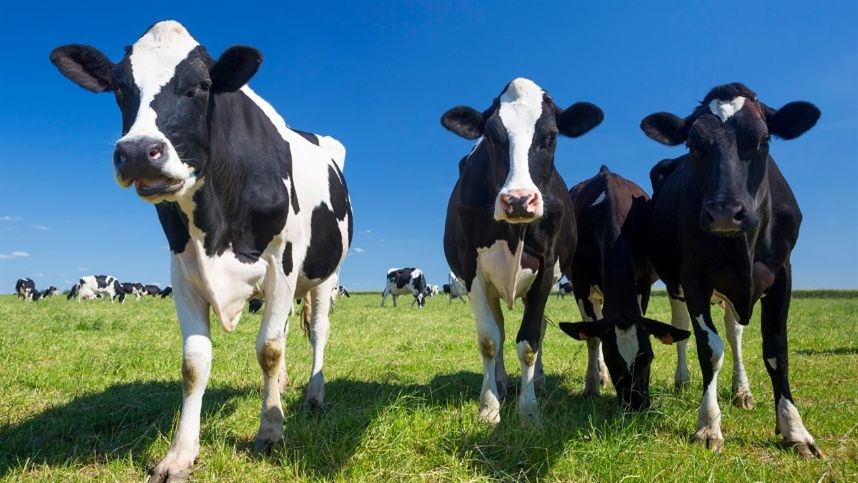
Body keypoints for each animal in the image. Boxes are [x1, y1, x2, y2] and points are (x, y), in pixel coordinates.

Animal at [50, 20, 353, 480]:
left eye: (201, 86)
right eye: (119, 87)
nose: (137, 152)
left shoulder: (281, 263)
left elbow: (268, 349)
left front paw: (270, 431)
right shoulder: (183, 270)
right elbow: (195, 363)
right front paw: (179, 454)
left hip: (323, 275)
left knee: (317, 331)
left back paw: (312, 395)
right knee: (285, 330)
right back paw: (282, 388)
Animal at [441, 78, 603, 427]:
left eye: (552, 136)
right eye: (490, 136)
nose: (517, 200)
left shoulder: (546, 267)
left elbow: (529, 341)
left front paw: (529, 411)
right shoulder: (472, 270)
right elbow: (489, 340)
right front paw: (489, 406)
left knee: (538, 329)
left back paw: (539, 381)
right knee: (500, 330)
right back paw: (501, 382)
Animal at [557, 165, 690, 407]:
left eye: (648, 356)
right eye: (612, 361)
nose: (636, 404)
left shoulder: (643, 282)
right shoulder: (580, 285)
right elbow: (592, 338)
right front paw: (591, 386)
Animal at [638, 83, 821, 457]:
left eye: (763, 139)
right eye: (693, 144)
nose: (724, 212)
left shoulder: (782, 274)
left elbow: (776, 349)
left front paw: (794, 428)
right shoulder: (693, 276)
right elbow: (709, 349)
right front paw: (708, 425)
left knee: (734, 332)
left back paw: (742, 391)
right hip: (676, 281)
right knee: (682, 326)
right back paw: (682, 380)